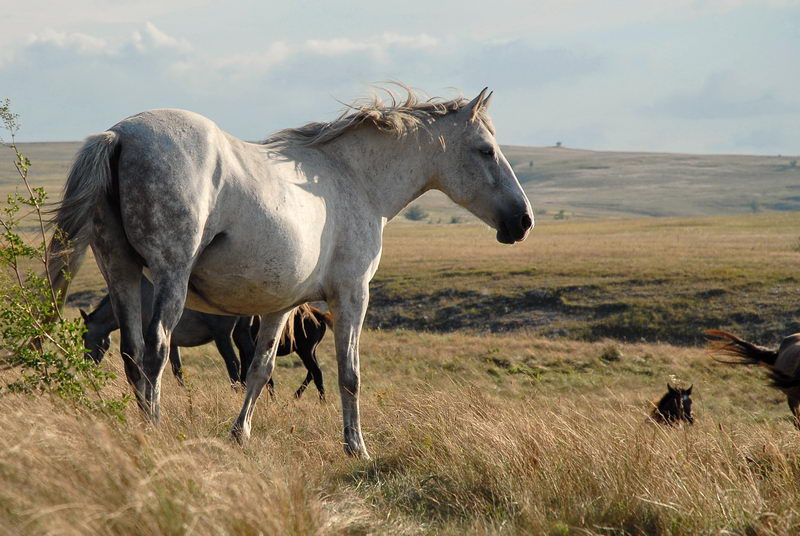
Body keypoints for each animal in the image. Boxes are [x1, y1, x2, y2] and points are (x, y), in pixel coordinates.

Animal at [81, 277, 332, 399]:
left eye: (87, 338)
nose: (87, 366)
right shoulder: (172, 342)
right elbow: (177, 370)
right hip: (243, 336)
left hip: (224, 337)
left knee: (234, 365)